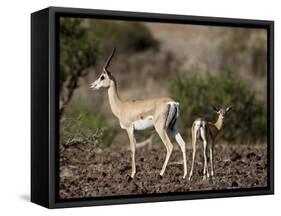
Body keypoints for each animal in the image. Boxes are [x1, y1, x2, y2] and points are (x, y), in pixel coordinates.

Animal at [89, 49, 186, 179]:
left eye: (102, 76)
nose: (92, 85)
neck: (121, 106)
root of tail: (172, 102)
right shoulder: (135, 131)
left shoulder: (129, 129)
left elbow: (133, 148)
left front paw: (132, 174)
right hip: (173, 127)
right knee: (182, 144)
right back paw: (186, 175)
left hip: (160, 129)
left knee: (170, 146)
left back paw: (161, 174)